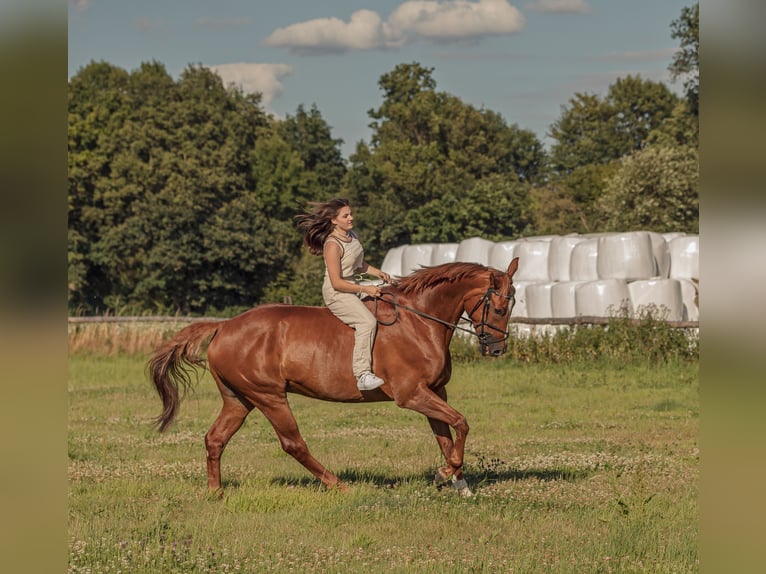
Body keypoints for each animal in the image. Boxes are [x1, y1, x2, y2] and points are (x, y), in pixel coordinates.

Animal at [148, 258, 520, 498]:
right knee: (293, 443)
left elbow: (446, 435)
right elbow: (461, 423)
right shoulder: (412, 394)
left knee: (215, 439)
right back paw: (338, 484)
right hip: (269, 396)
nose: (497, 348)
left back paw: (216, 492)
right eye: (500, 307)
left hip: (239, 399)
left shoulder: (435, 392)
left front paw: (458, 483)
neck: (420, 321)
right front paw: (447, 474)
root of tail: (224, 326)